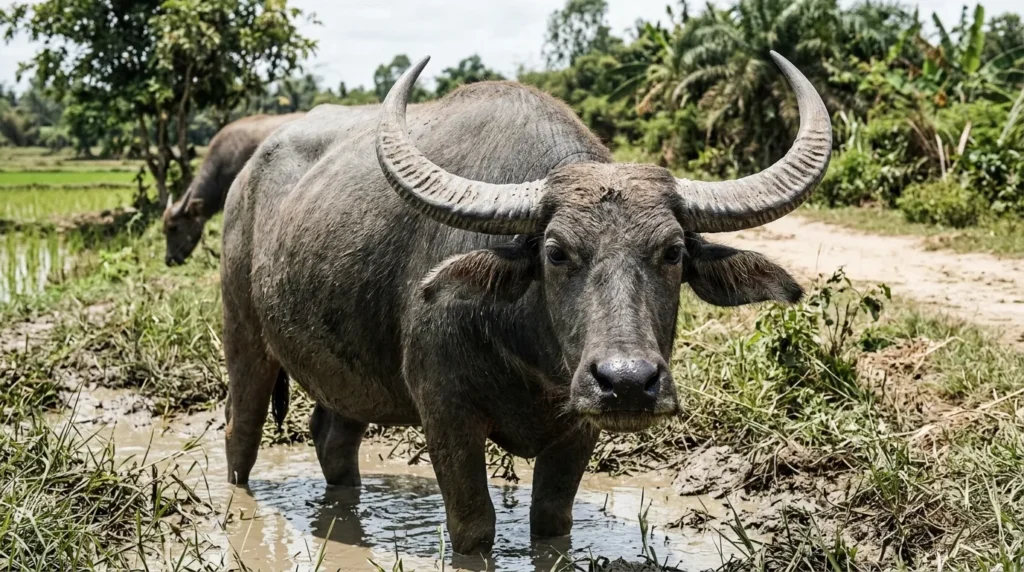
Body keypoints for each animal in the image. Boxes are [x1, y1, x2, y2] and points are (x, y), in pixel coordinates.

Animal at [220, 52, 830, 553]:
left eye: (674, 251)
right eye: (556, 252)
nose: (629, 383)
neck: (531, 354)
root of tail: (246, 176)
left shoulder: (579, 427)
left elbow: (552, 523)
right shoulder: (446, 414)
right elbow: (474, 528)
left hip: (349, 377)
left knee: (333, 440)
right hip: (241, 334)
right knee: (239, 435)